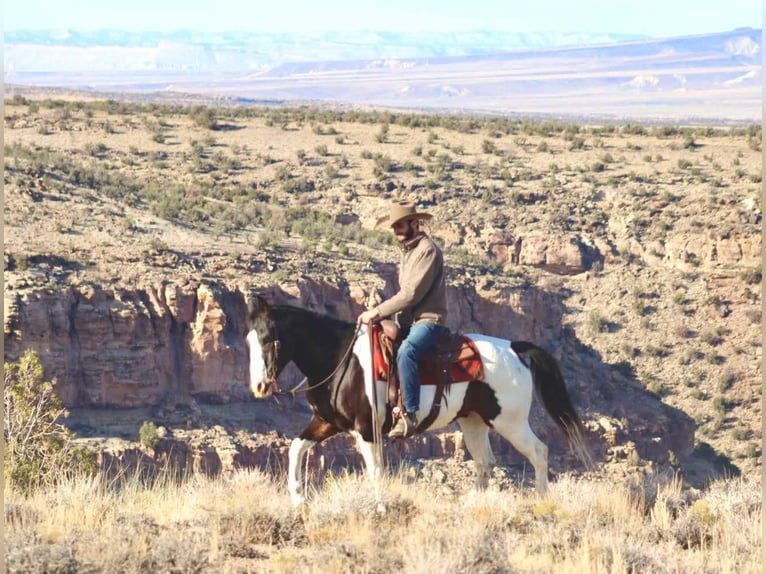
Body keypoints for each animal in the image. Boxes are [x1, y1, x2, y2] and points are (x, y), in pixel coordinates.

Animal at [246, 296, 592, 508]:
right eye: (249, 340)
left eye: (268, 338)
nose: (259, 386)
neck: (341, 360)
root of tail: (513, 347)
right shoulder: (327, 422)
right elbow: (295, 448)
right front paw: (298, 500)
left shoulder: (367, 429)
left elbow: (375, 472)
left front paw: (381, 508)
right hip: (473, 421)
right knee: (485, 462)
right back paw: (474, 504)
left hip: (509, 421)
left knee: (539, 452)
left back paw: (542, 500)